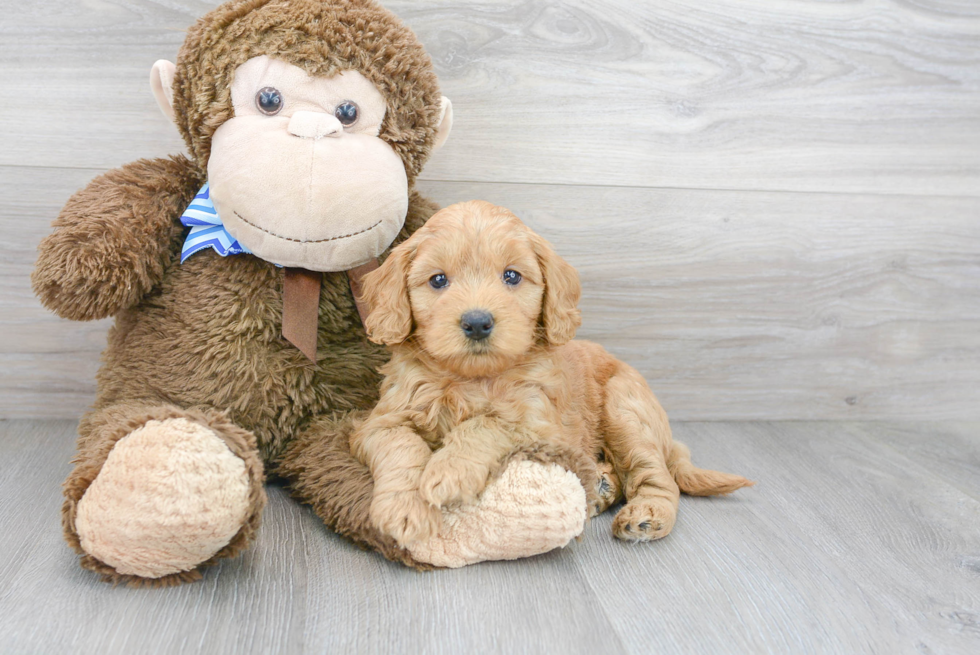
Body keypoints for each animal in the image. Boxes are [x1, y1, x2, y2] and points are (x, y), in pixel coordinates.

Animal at [350, 201, 752, 548]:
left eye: (512, 276)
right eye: (437, 281)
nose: (477, 322)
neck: (473, 378)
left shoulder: (541, 424)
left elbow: (486, 424)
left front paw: (449, 471)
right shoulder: (382, 420)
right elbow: (401, 448)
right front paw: (404, 510)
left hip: (626, 411)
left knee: (658, 477)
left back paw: (647, 514)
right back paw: (602, 488)